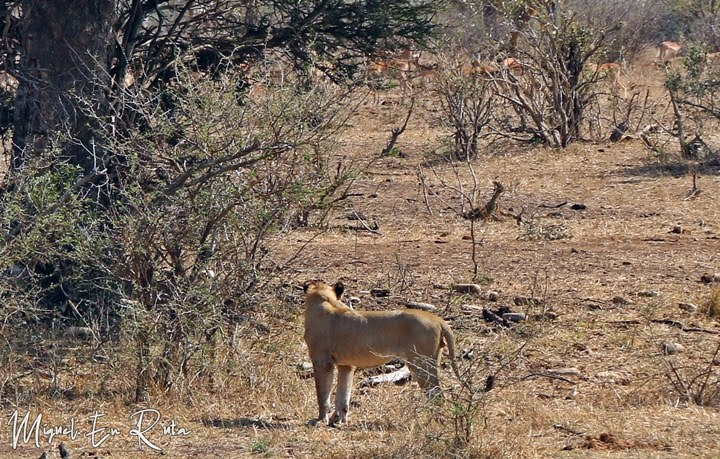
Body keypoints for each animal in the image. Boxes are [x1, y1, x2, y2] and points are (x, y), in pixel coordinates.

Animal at [302, 280, 462, 428]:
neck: (325, 299)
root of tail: (438, 319)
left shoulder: (322, 361)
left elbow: (323, 395)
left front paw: (320, 420)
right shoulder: (346, 365)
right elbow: (343, 395)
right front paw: (338, 419)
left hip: (420, 363)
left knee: (437, 394)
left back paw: (432, 422)